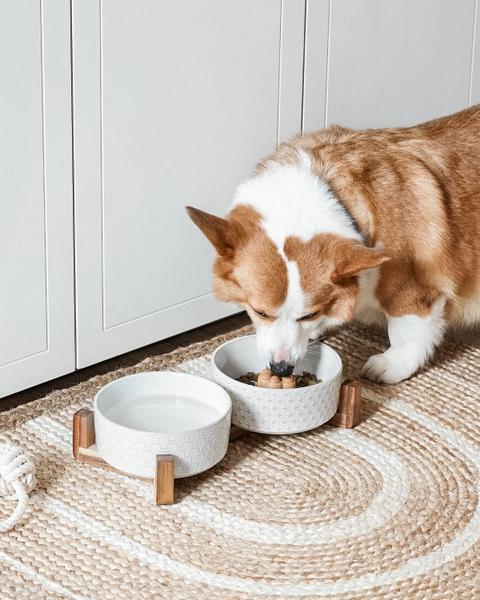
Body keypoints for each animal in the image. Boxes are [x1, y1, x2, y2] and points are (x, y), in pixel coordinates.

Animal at [186, 105, 480, 382]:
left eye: (309, 315)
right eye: (260, 312)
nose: (281, 369)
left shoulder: (412, 291)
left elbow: (407, 333)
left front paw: (390, 366)